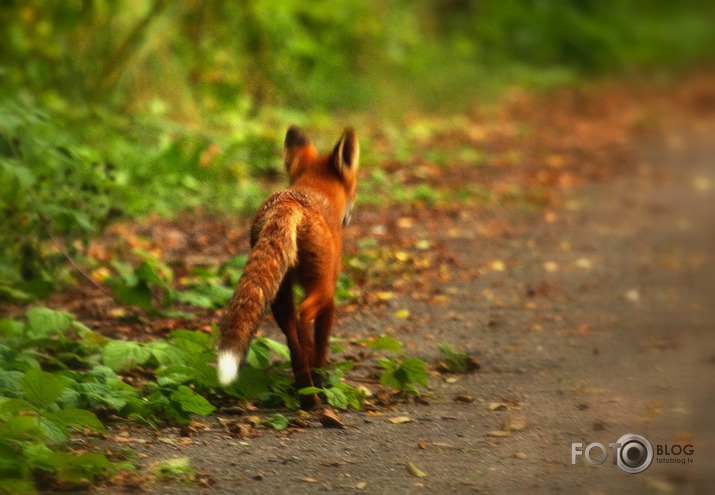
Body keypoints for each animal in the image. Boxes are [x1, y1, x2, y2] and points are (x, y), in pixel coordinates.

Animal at [213, 124, 358, 406]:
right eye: (355, 191)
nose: (349, 218)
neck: (317, 191)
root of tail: (287, 202)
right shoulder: (331, 294)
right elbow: (322, 342)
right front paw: (322, 374)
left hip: (277, 295)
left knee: (294, 343)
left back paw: (306, 393)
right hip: (319, 287)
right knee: (304, 318)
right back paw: (314, 391)